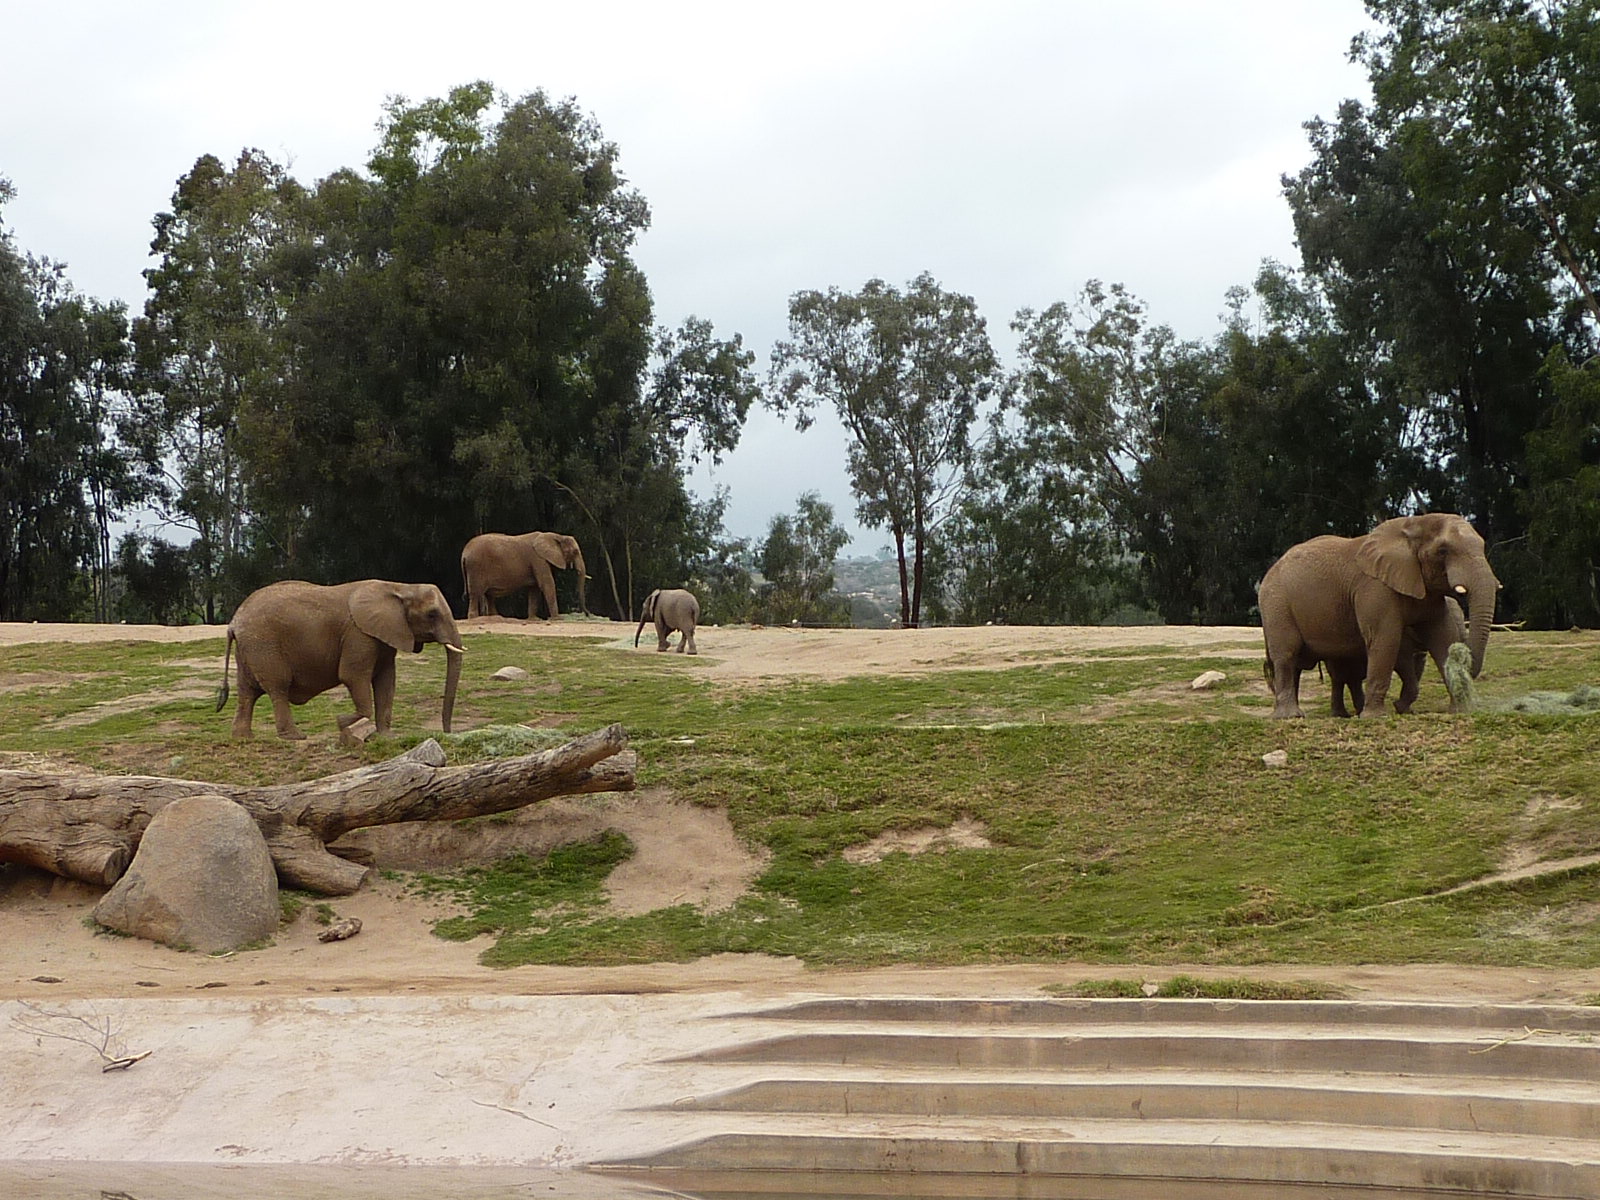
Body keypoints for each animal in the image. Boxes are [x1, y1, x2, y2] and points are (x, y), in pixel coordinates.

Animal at [217, 579, 464, 740]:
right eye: (432, 614)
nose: (447, 733)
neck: (400, 587)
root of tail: (233, 623)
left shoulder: (384, 636)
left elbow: (387, 681)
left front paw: (387, 738)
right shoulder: (359, 635)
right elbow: (353, 677)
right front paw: (344, 722)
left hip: (250, 649)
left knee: (247, 692)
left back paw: (243, 738)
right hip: (263, 645)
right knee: (278, 687)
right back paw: (295, 737)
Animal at [461, 531, 589, 621]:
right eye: (575, 552)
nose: (587, 614)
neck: (556, 536)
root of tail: (464, 554)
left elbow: (534, 589)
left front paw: (534, 619)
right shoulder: (538, 559)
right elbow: (547, 584)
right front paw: (557, 618)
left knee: (488, 595)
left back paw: (496, 617)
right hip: (476, 568)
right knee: (476, 593)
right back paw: (474, 618)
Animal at [1258, 513, 1498, 719]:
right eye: (1443, 551)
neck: (1414, 523)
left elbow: (1442, 638)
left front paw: (1462, 711)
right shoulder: (1374, 589)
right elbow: (1386, 640)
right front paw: (1377, 716)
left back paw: (1336, 714)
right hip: (1276, 603)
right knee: (1287, 655)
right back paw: (1291, 716)